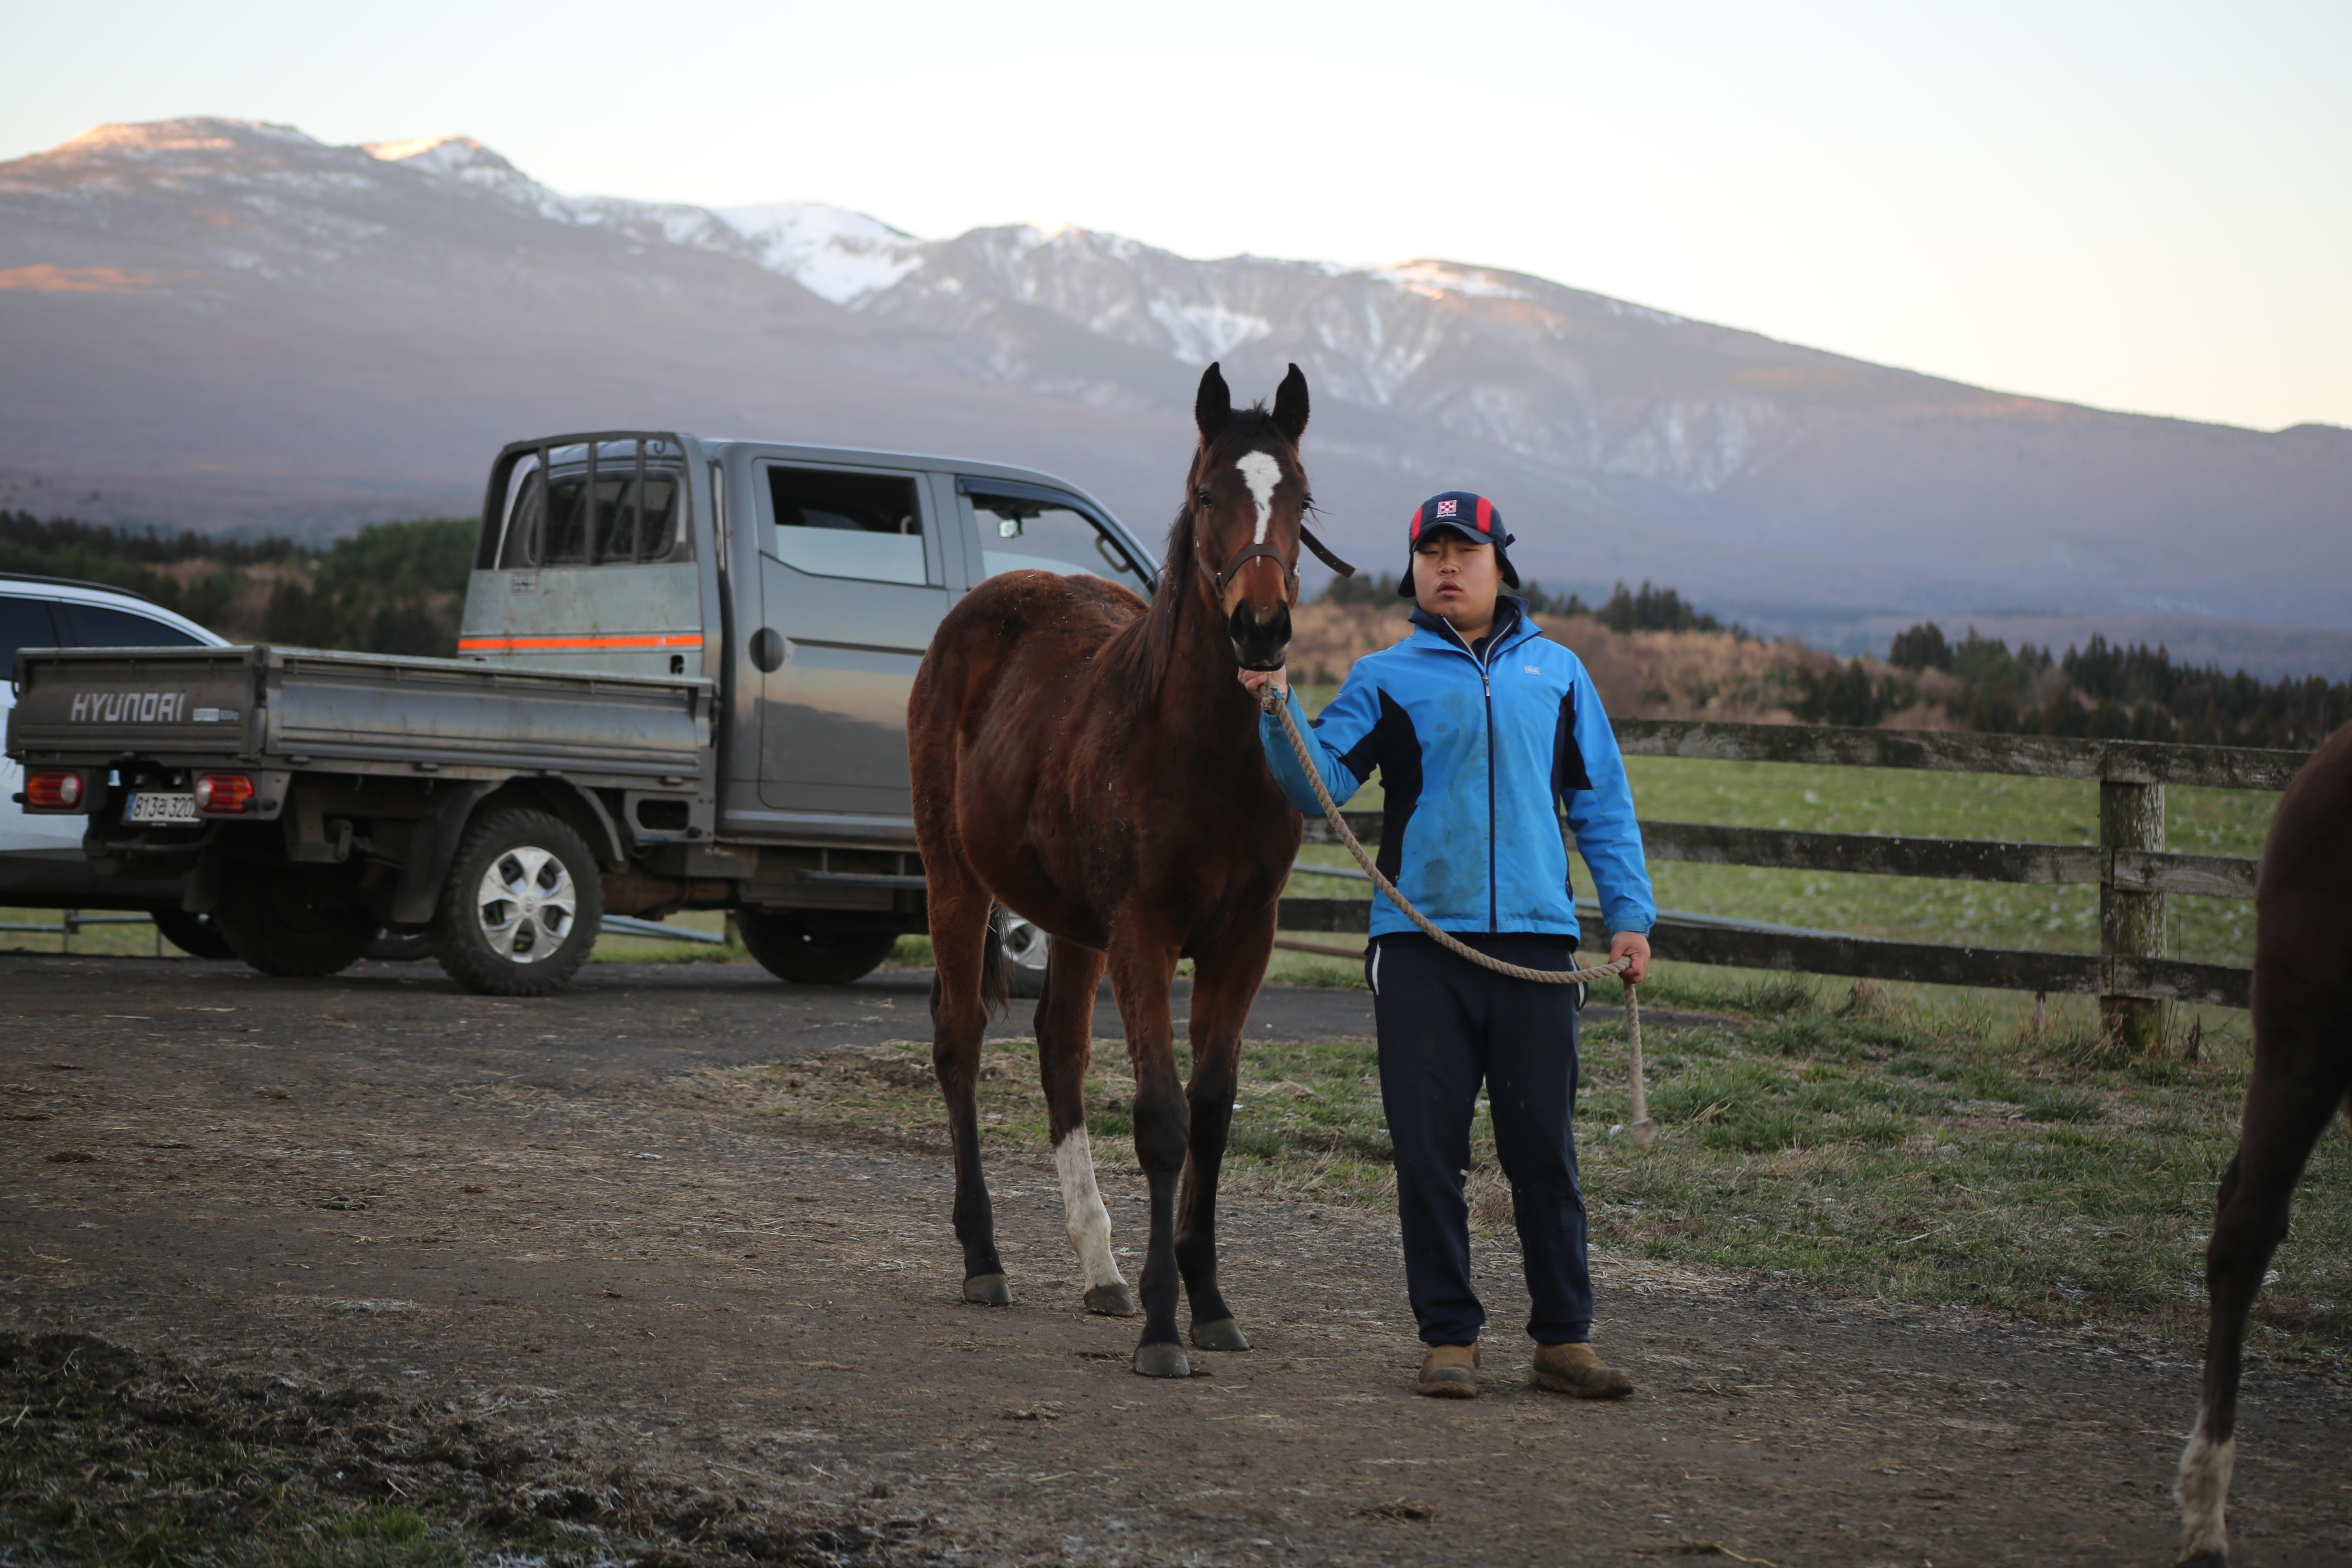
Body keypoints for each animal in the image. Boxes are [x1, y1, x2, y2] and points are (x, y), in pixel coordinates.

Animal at [908, 362, 1345, 1382]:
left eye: (1301, 499)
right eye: (1208, 494)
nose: (1261, 630)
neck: (1204, 750)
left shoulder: (1244, 937)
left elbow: (1213, 1112)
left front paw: (1208, 1302)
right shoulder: (1146, 930)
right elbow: (1160, 1118)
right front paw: (1161, 1327)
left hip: (1075, 924)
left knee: (1059, 1049)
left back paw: (1099, 1268)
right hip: (957, 879)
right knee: (959, 1042)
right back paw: (985, 1258)